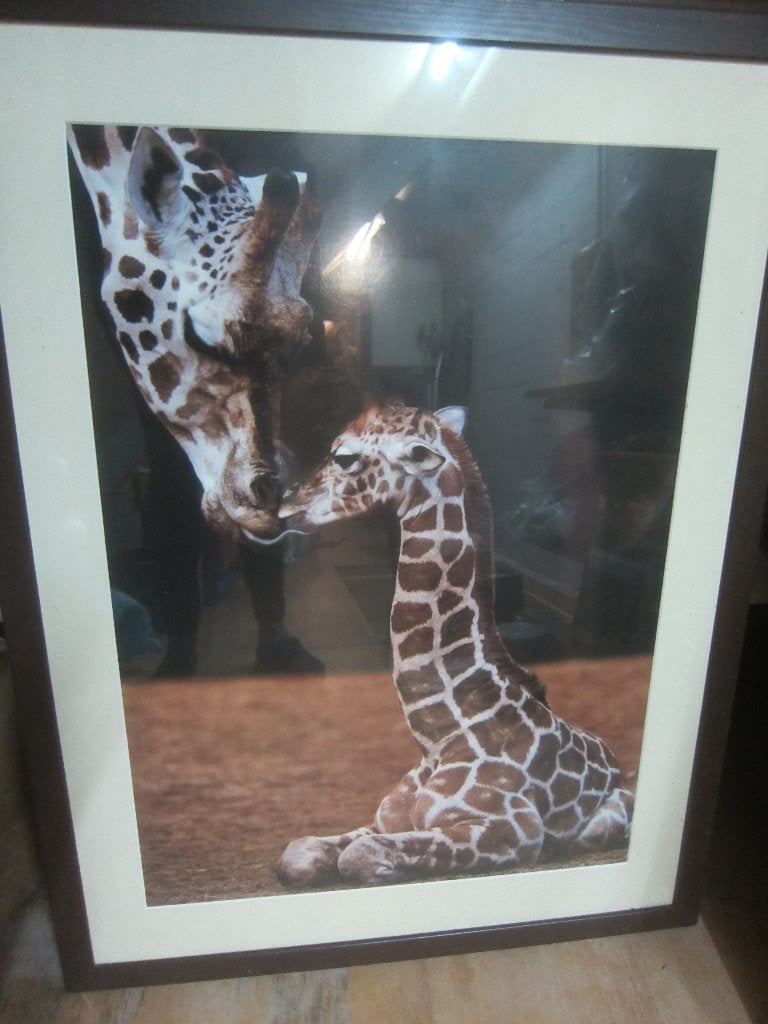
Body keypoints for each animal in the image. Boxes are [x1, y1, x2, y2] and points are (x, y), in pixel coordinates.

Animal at [276, 405, 633, 885]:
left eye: (343, 457)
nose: (286, 504)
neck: (439, 737)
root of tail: (614, 756)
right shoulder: (384, 818)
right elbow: (299, 852)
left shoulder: (514, 830)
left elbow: (360, 855)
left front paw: (385, 871)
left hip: (602, 822)